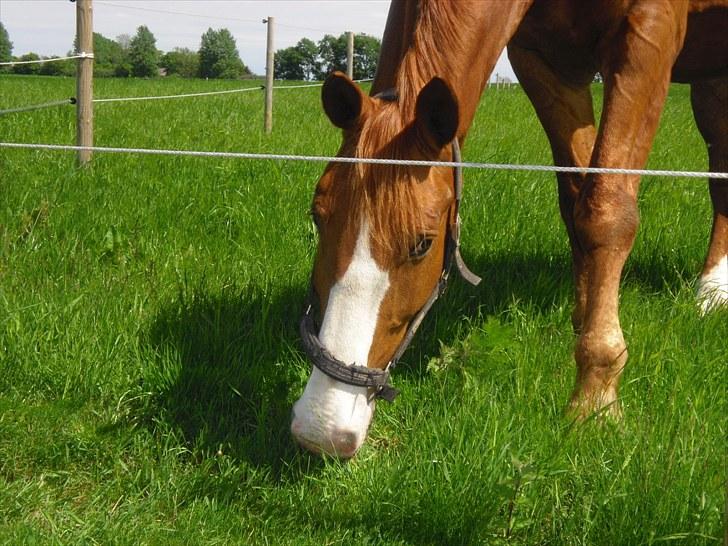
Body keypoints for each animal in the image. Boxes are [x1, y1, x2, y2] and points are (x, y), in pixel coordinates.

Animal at [288, 0, 724, 456]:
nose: (321, 426)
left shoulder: (649, 33)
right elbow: (576, 196)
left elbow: (606, 208)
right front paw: (583, 318)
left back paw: (712, 292)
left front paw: (596, 397)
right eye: (317, 215)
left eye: (423, 244)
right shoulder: (544, 60)